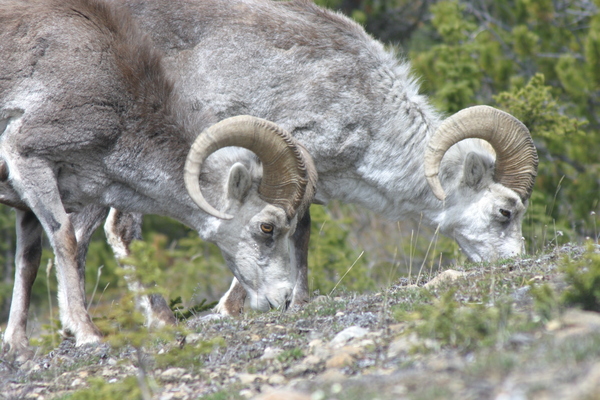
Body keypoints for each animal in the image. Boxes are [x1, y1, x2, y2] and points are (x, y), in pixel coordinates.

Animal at [0, 0, 316, 358]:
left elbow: (29, 260)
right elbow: (65, 241)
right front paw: (88, 333)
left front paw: (17, 344)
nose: (285, 299)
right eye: (267, 227)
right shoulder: (27, 158)